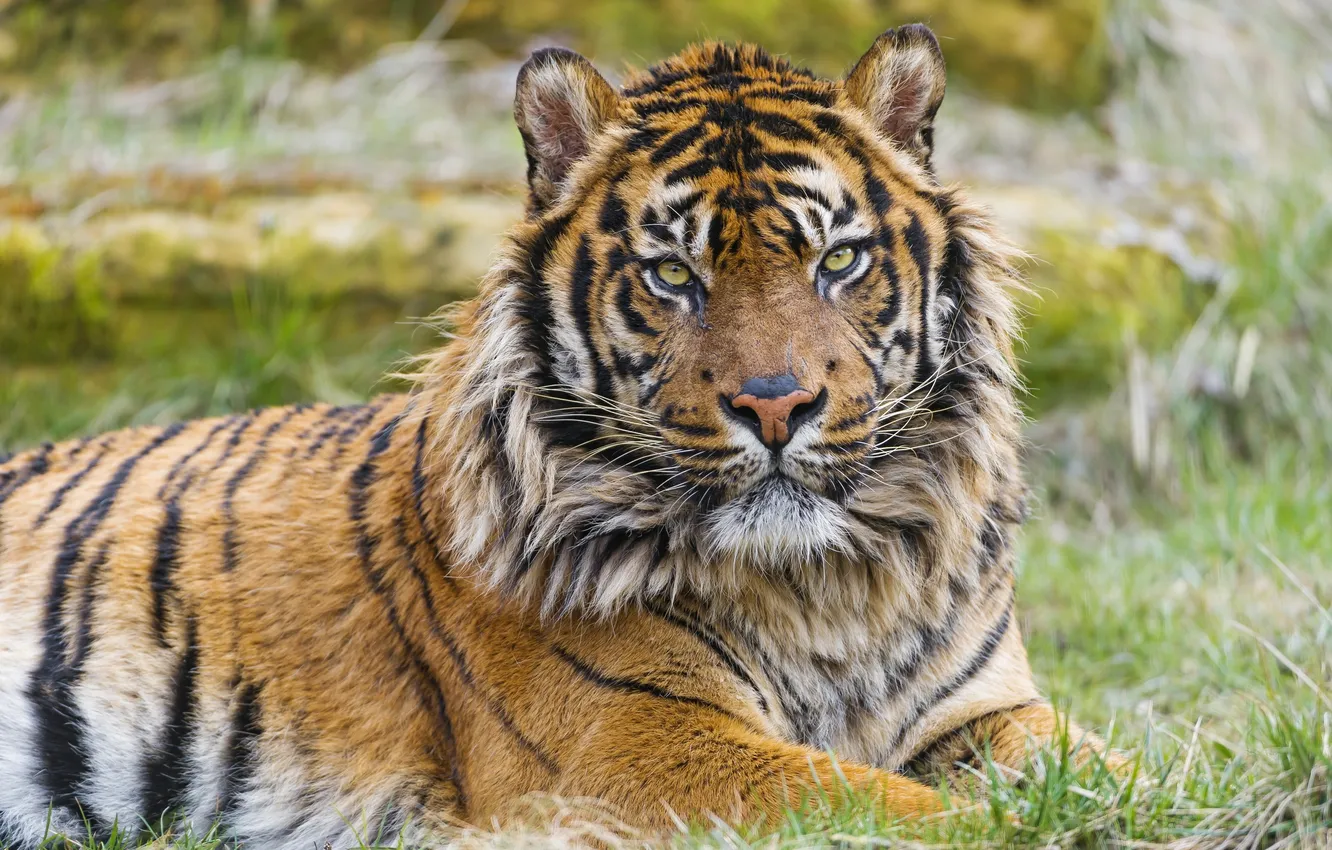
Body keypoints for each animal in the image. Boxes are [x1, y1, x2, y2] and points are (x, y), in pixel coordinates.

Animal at [0, 24, 1124, 850]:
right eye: (673, 275)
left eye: (837, 261)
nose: (776, 405)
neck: (824, 586)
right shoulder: (634, 739)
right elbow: (879, 800)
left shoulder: (985, 708)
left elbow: (1115, 763)